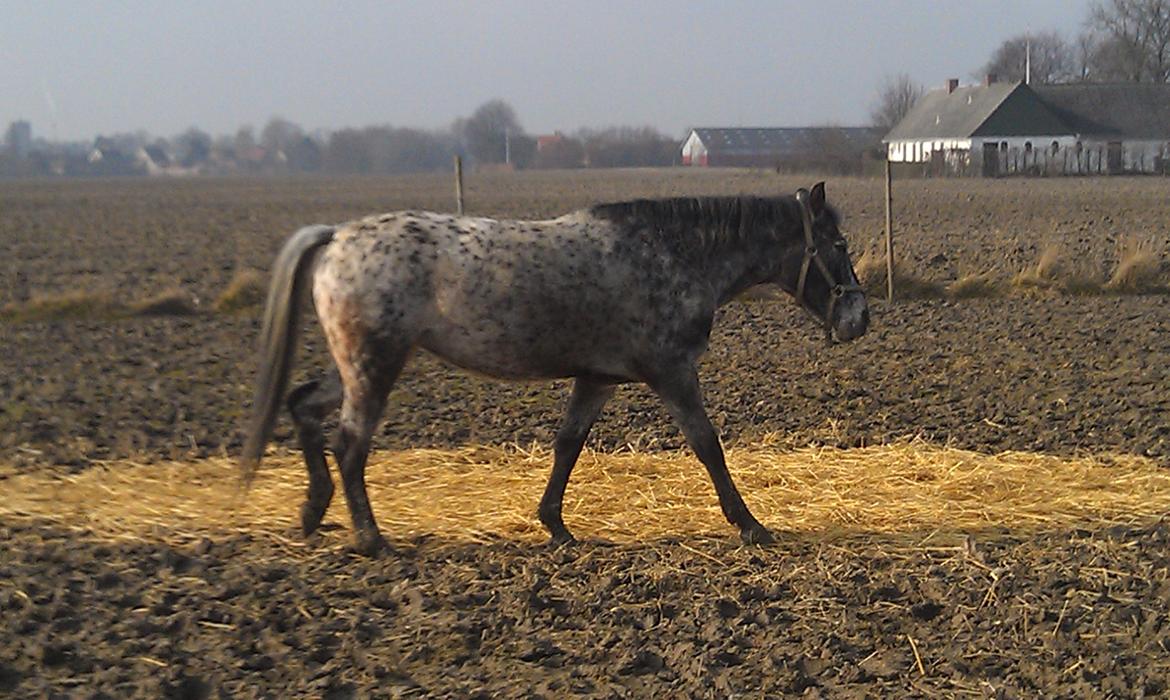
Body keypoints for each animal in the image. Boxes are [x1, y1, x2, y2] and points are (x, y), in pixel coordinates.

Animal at [242, 183, 870, 557]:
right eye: (838, 245)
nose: (859, 318)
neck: (672, 255)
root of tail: (338, 237)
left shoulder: (597, 379)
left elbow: (568, 445)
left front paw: (555, 525)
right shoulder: (671, 372)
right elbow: (707, 446)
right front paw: (751, 525)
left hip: (357, 367)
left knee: (303, 406)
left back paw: (312, 511)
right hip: (375, 366)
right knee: (349, 445)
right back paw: (372, 539)